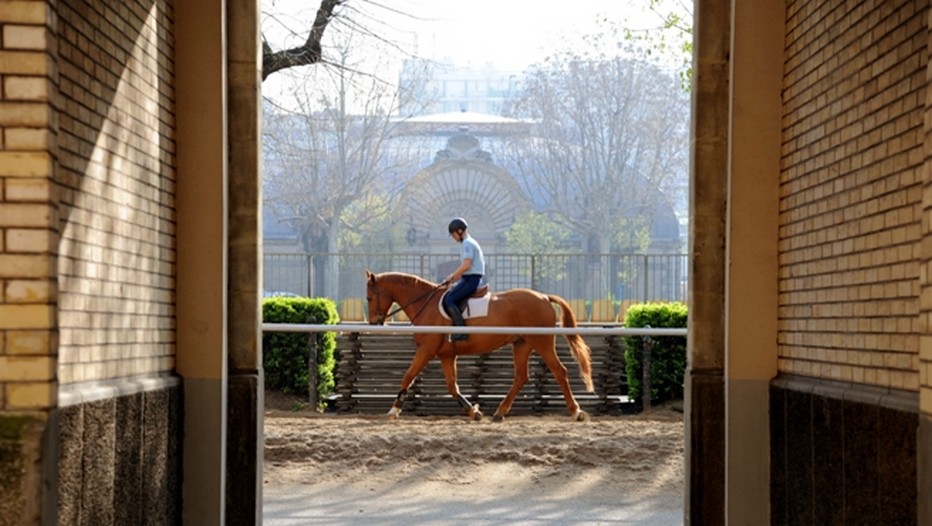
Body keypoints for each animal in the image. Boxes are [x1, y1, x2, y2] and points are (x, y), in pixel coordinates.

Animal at [364, 272, 588, 424]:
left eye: (369, 297)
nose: (375, 323)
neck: (425, 304)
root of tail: (544, 297)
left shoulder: (426, 350)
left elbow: (408, 375)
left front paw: (394, 410)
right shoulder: (446, 355)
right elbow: (452, 387)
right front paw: (474, 411)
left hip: (542, 343)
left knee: (559, 371)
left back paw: (576, 411)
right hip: (521, 345)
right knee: (521, 377)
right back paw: (500, 412)